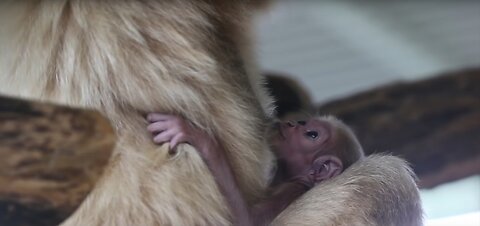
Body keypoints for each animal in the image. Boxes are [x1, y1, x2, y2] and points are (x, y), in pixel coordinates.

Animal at [146, 115, 364, 226]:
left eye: (312, 134)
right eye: (303, 123)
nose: (291, 123)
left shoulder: (291, 191)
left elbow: (248, 221)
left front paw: (197, 136)